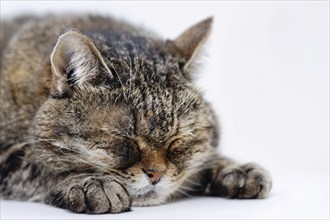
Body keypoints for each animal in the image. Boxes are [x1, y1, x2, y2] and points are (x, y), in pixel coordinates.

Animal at [0, 14, 272, 214]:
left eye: (177, 141)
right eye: (124, 140)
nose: (156, 174)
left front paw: (233, 167)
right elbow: (41, 165)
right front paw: (90, 182)